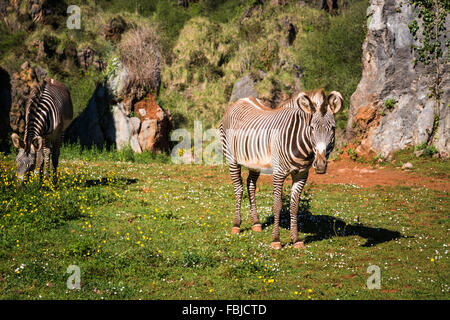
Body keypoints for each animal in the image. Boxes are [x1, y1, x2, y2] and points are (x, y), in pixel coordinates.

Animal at [220, 89, 342, 249]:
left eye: (333, 128)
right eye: (312, 128)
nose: (321, 165)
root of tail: (240, 100)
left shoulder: (301, 175)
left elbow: (294, 206)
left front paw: (296, 240)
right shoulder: (279, 173)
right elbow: (277, 206)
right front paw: (276, 240)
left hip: (255, 162)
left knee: (250, 184)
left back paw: (256, 223)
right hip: (231, 158)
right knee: (238, 188)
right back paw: (236, 225)